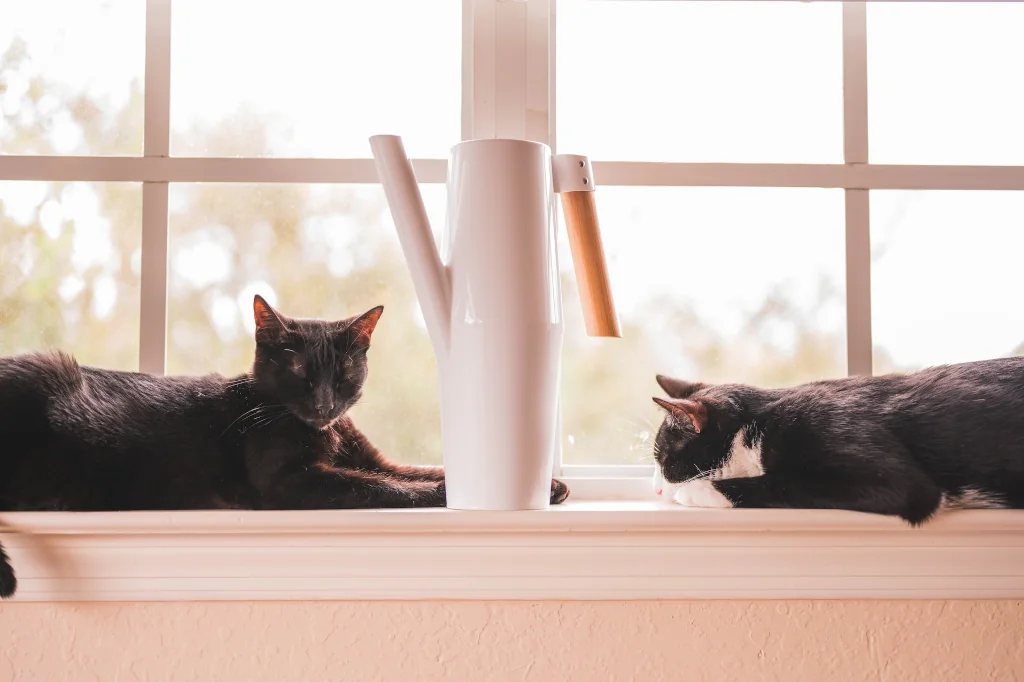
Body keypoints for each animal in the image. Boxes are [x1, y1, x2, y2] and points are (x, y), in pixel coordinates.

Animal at [0, 294, 573, 598]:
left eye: (343, 372)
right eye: (299, 371)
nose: (322, 402)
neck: (324, 431)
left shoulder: (376, 457)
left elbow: (420, 470)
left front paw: (551, 487)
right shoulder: (291, 482)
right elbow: (385, 486)